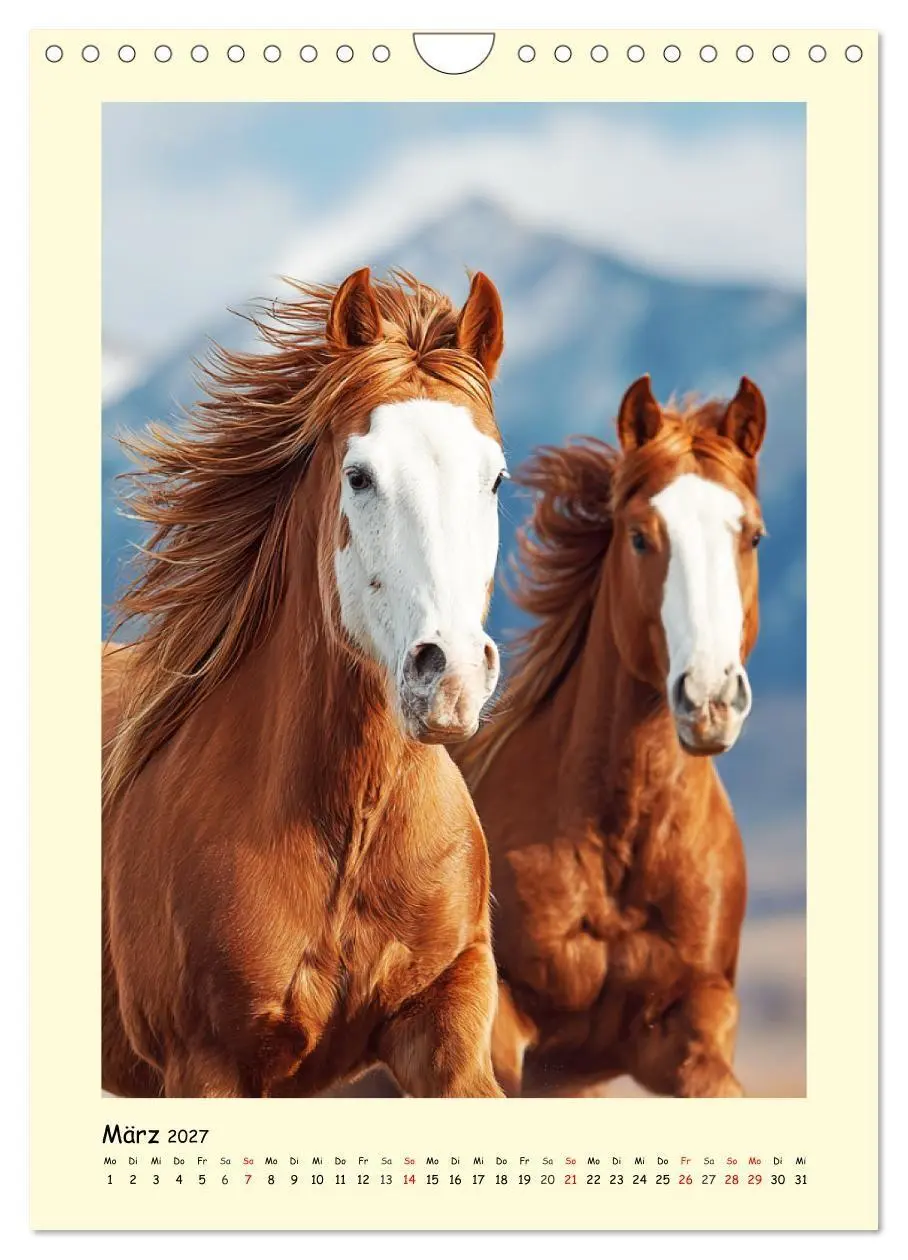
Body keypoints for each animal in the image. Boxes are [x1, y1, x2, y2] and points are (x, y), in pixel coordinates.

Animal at [102, 267, 510, 1099]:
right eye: (360, 476)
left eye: (494, 478)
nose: (449, 675)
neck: (344, 831)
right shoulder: (207, 1066)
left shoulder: (447, 1031)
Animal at [458, 374, 767, 1098]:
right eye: (640, 536)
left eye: (752, 537)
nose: (708, 698)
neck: (619, 839)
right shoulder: (504, 1027)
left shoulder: (694, 1022)